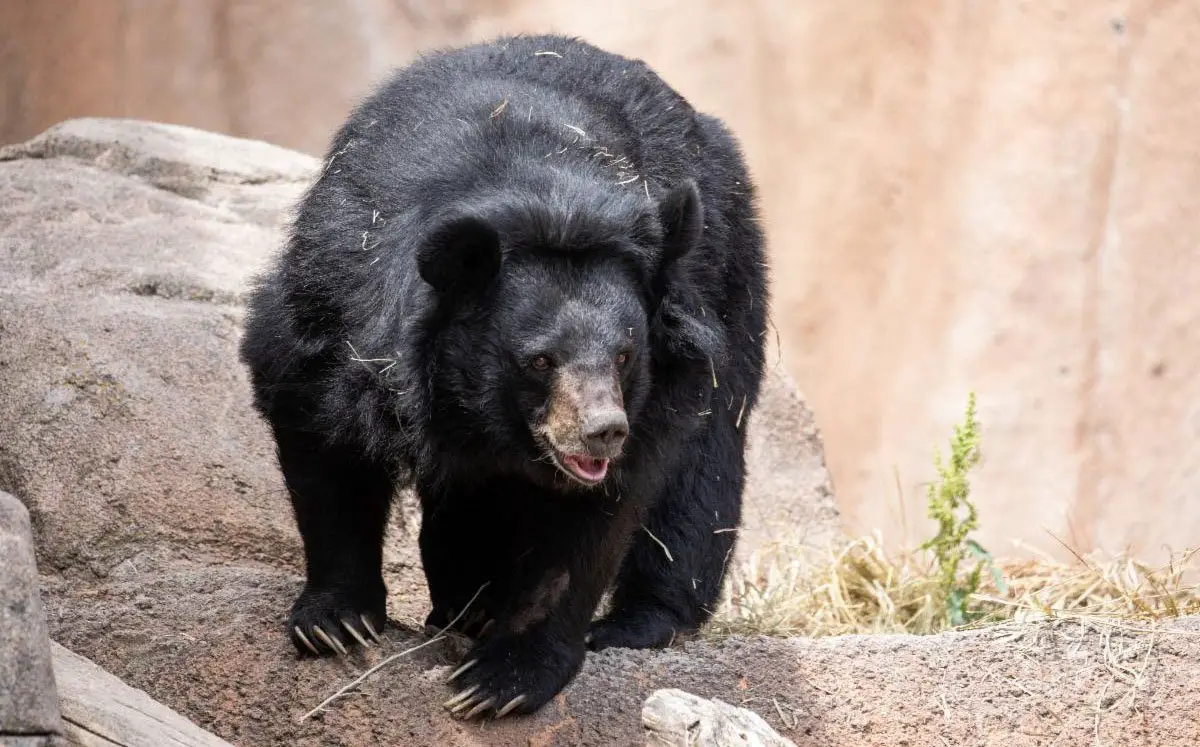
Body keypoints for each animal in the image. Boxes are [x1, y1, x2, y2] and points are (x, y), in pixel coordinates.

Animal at [236, 33, 768, 720]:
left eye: (625, 355)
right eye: (540, 359)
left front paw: (498, 680)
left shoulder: (664, 380)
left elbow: (591, 527)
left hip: (729, 271)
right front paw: (336, 622)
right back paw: (465, 605)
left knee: (706, 467)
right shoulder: (336, 296)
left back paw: (636, 622)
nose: (602, 431)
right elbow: (319, 430)